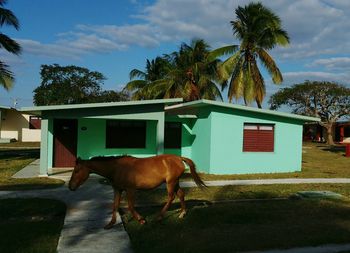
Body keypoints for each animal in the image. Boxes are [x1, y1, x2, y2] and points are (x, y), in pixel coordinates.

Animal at [67, 154, 205, 229]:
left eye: (77, 171)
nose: (70, 187)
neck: (116, 168)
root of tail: (179, 158)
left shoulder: (130, 190)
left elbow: (130, 206)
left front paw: (141, 220)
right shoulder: (118, 189)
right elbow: (115, 205)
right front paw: (110, 224)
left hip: (171, 182)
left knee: (171, 197)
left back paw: (159, 217)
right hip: (175, 182)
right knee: (181, 194)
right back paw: (182, 213)